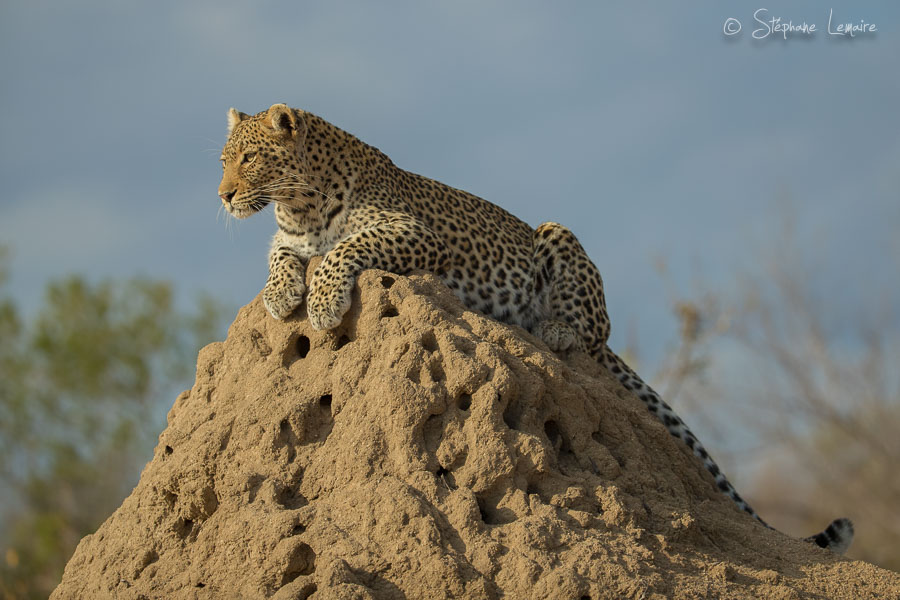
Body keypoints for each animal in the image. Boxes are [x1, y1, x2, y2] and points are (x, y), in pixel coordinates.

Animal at [218, 103, 854, 554]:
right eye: (224, 160)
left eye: (248, 159)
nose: (223, 196)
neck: (298, 205)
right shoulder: (287, 239)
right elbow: (281, 259)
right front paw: (281, 296)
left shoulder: (415, 233)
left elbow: (343, 248)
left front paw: (323, 304)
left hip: (557, 235)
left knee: (590, 333)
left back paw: (552, 331)